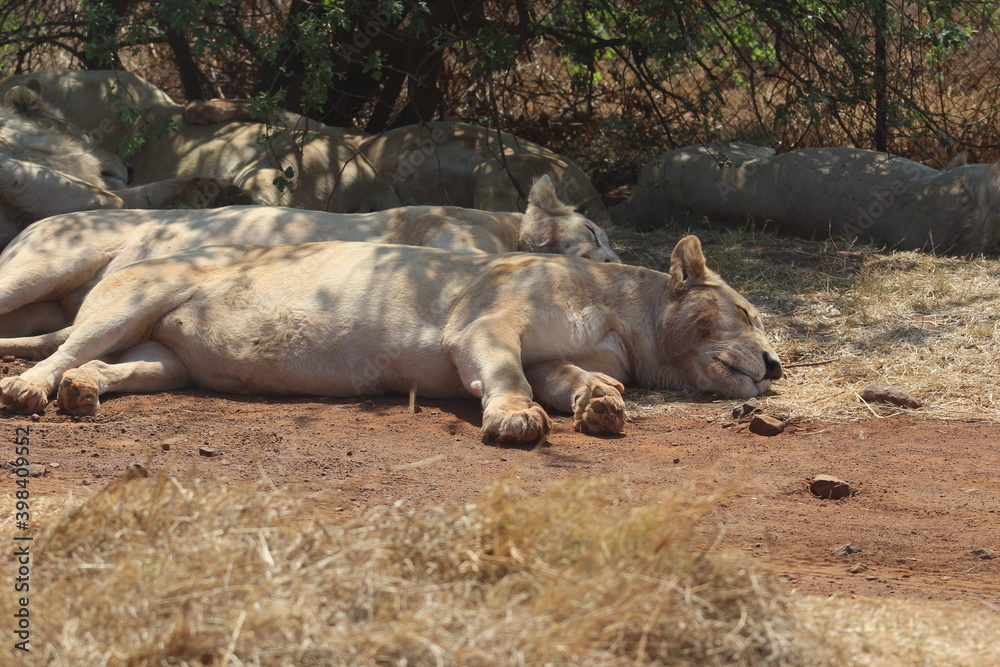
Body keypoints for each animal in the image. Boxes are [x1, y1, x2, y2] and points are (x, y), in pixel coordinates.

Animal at [0, 175, 618, 340]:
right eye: (594, 229)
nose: (616, 261)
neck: (503, 226)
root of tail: (27, 227)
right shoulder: (449, 238)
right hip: (44, 265)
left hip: (45, 303)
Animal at [0, 235, 781, 443]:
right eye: (747, 311)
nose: (776, 362)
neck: (626, 318)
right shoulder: (484, 326)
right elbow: (507, 378)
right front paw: (515, 420)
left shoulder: (552, 353)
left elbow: (572, 380)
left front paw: (603, 405)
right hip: (131, 301)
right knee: (63, 349)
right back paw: (32, 390)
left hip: (164, 359)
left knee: (109, 368)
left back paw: (81, 394)